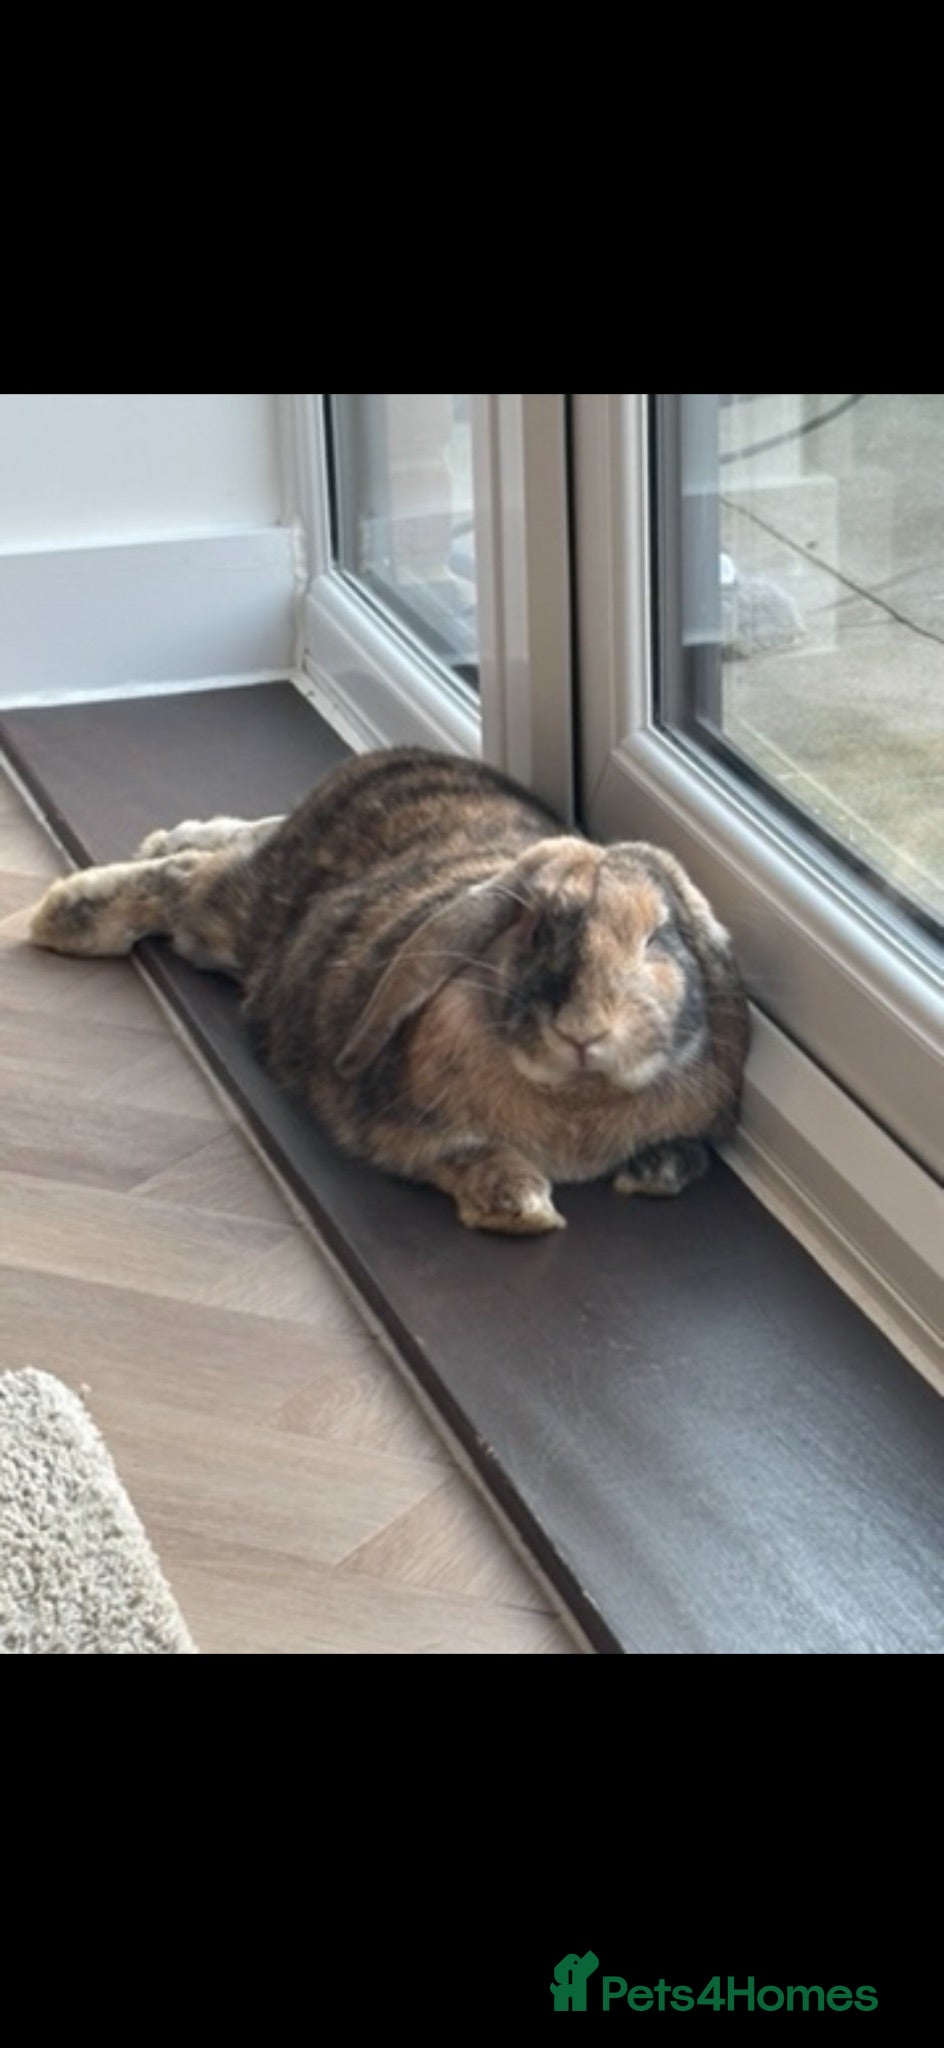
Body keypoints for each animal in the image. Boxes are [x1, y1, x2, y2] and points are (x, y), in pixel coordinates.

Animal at [28, 747, 750, 1234]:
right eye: (534, 931)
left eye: (657, 938)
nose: (583, 1028)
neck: (578, 1096)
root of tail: (377, 762)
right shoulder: (403, 1133)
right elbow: (464, 1156)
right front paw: (520, 1208)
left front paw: (652, 1173)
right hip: (232, 916)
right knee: (182, 882)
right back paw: (63, 916)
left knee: (219, 846)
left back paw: (163, 839)